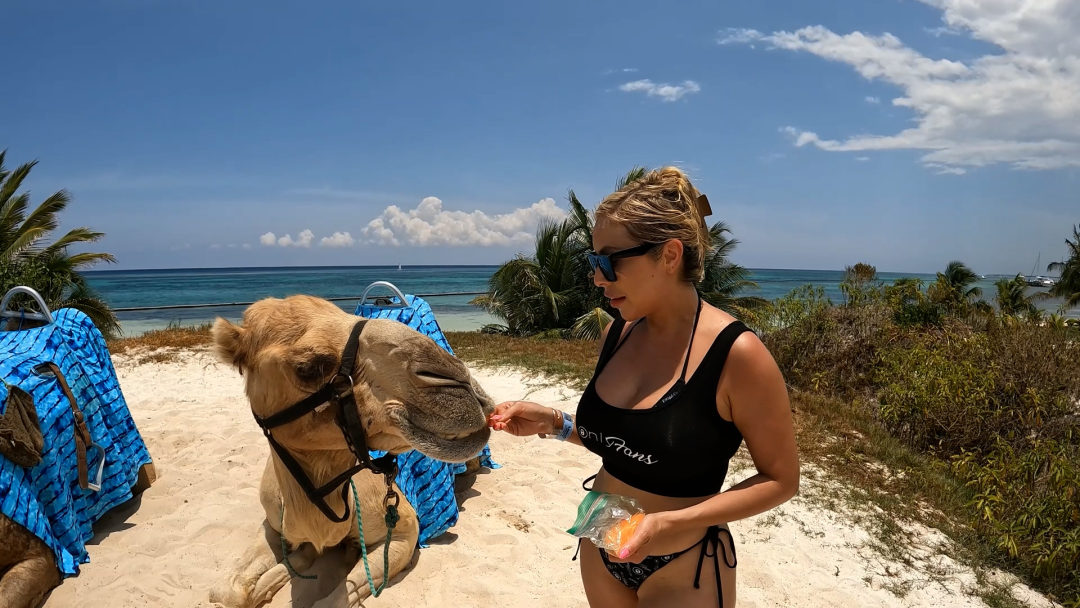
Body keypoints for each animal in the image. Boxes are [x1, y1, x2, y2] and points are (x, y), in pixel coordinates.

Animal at [207, 294, 495, 608]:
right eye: (308, 368)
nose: (464, 385)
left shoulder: (404, 533)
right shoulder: (271, 522)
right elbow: (227, 592)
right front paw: (272, 579)